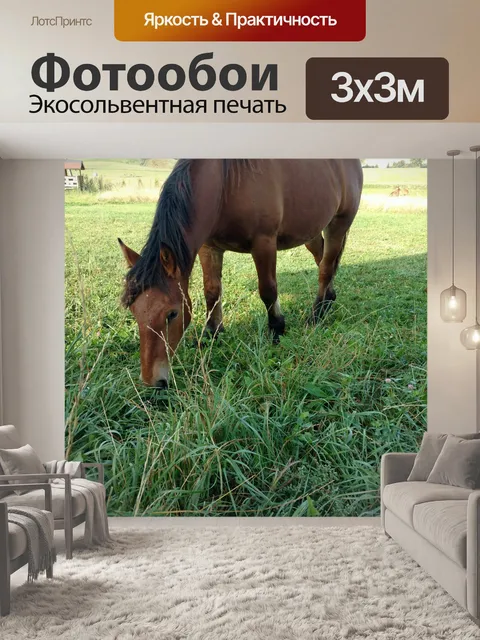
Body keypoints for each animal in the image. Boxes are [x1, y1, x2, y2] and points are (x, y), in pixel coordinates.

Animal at [119, 159, 363, 389]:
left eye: (172, 314)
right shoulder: (209, 248)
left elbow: (268, 290)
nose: (152, 381)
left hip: (338, 224)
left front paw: (277, 328)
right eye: (134, 312)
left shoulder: (264, 243)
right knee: (323, 259)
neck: (225, 185)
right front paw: (213, 332)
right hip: (310, 232)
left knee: (326, 267)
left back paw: (317, 313)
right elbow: (211, 291)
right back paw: (329, 299)